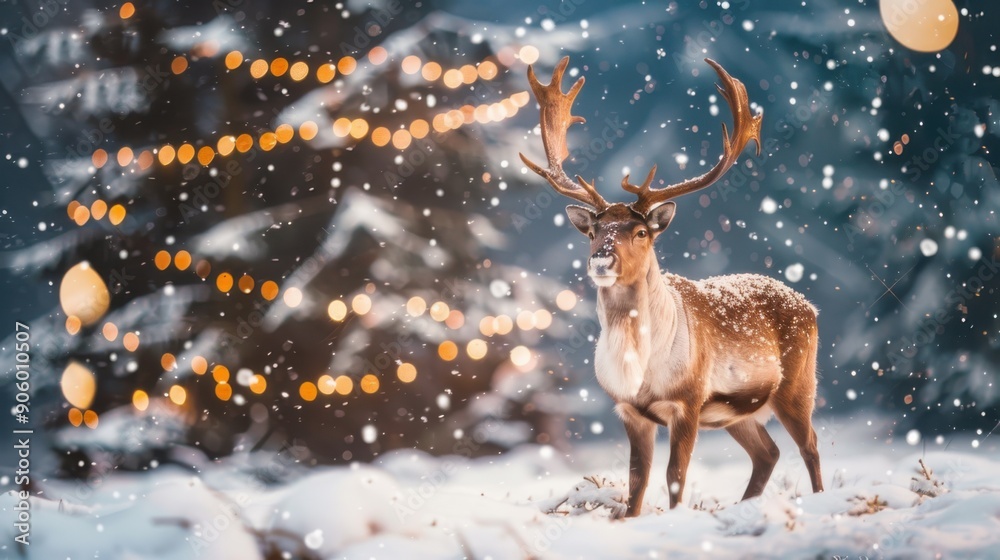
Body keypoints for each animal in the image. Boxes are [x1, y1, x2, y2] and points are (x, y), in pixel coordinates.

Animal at [519, 57, 823, 516]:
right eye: (593, 231)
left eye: (641, 231)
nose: (601, 260)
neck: (641, 368)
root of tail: (810, 306)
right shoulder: (629, 411)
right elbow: (637, 483)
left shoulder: (689, 401)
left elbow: (674, 477)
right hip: (737, 413)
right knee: (768, 452)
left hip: (797, 384)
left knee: (811, 446)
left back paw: (821, 498)